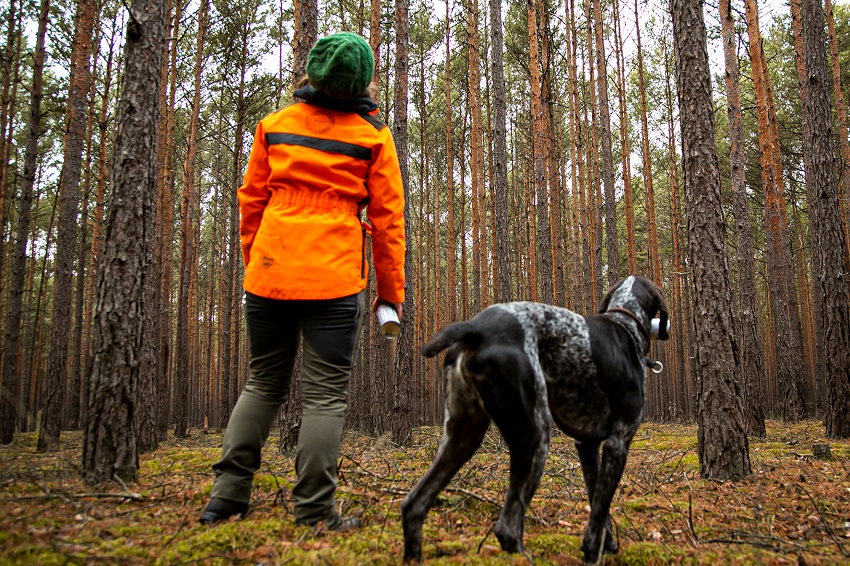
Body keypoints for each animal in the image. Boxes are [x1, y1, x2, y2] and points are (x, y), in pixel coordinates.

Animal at [400, 276, 664, 564]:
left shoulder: (587, 446)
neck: (625, 322)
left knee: (413, 506)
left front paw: (607, 544)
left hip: (463, 436)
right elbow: (600, 508)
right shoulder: (618, 443)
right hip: (536, 436)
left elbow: (597, 501)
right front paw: (594, 550)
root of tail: (475, 327)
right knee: (507, 528)